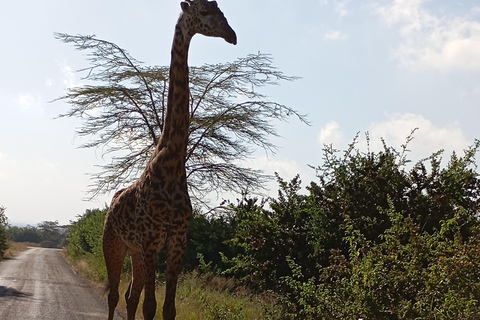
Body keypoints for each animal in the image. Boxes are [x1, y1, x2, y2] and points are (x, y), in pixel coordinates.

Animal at [102, 1, 235, 318]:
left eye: (222, 10)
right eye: (204, 12)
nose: (232, 35)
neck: (172, 161)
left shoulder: (177, 242)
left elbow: (168, 308)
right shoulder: (151, 241)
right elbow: (151, 306)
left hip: (135, 251)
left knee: (130, 296)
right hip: (114, 243)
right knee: (114, 294)